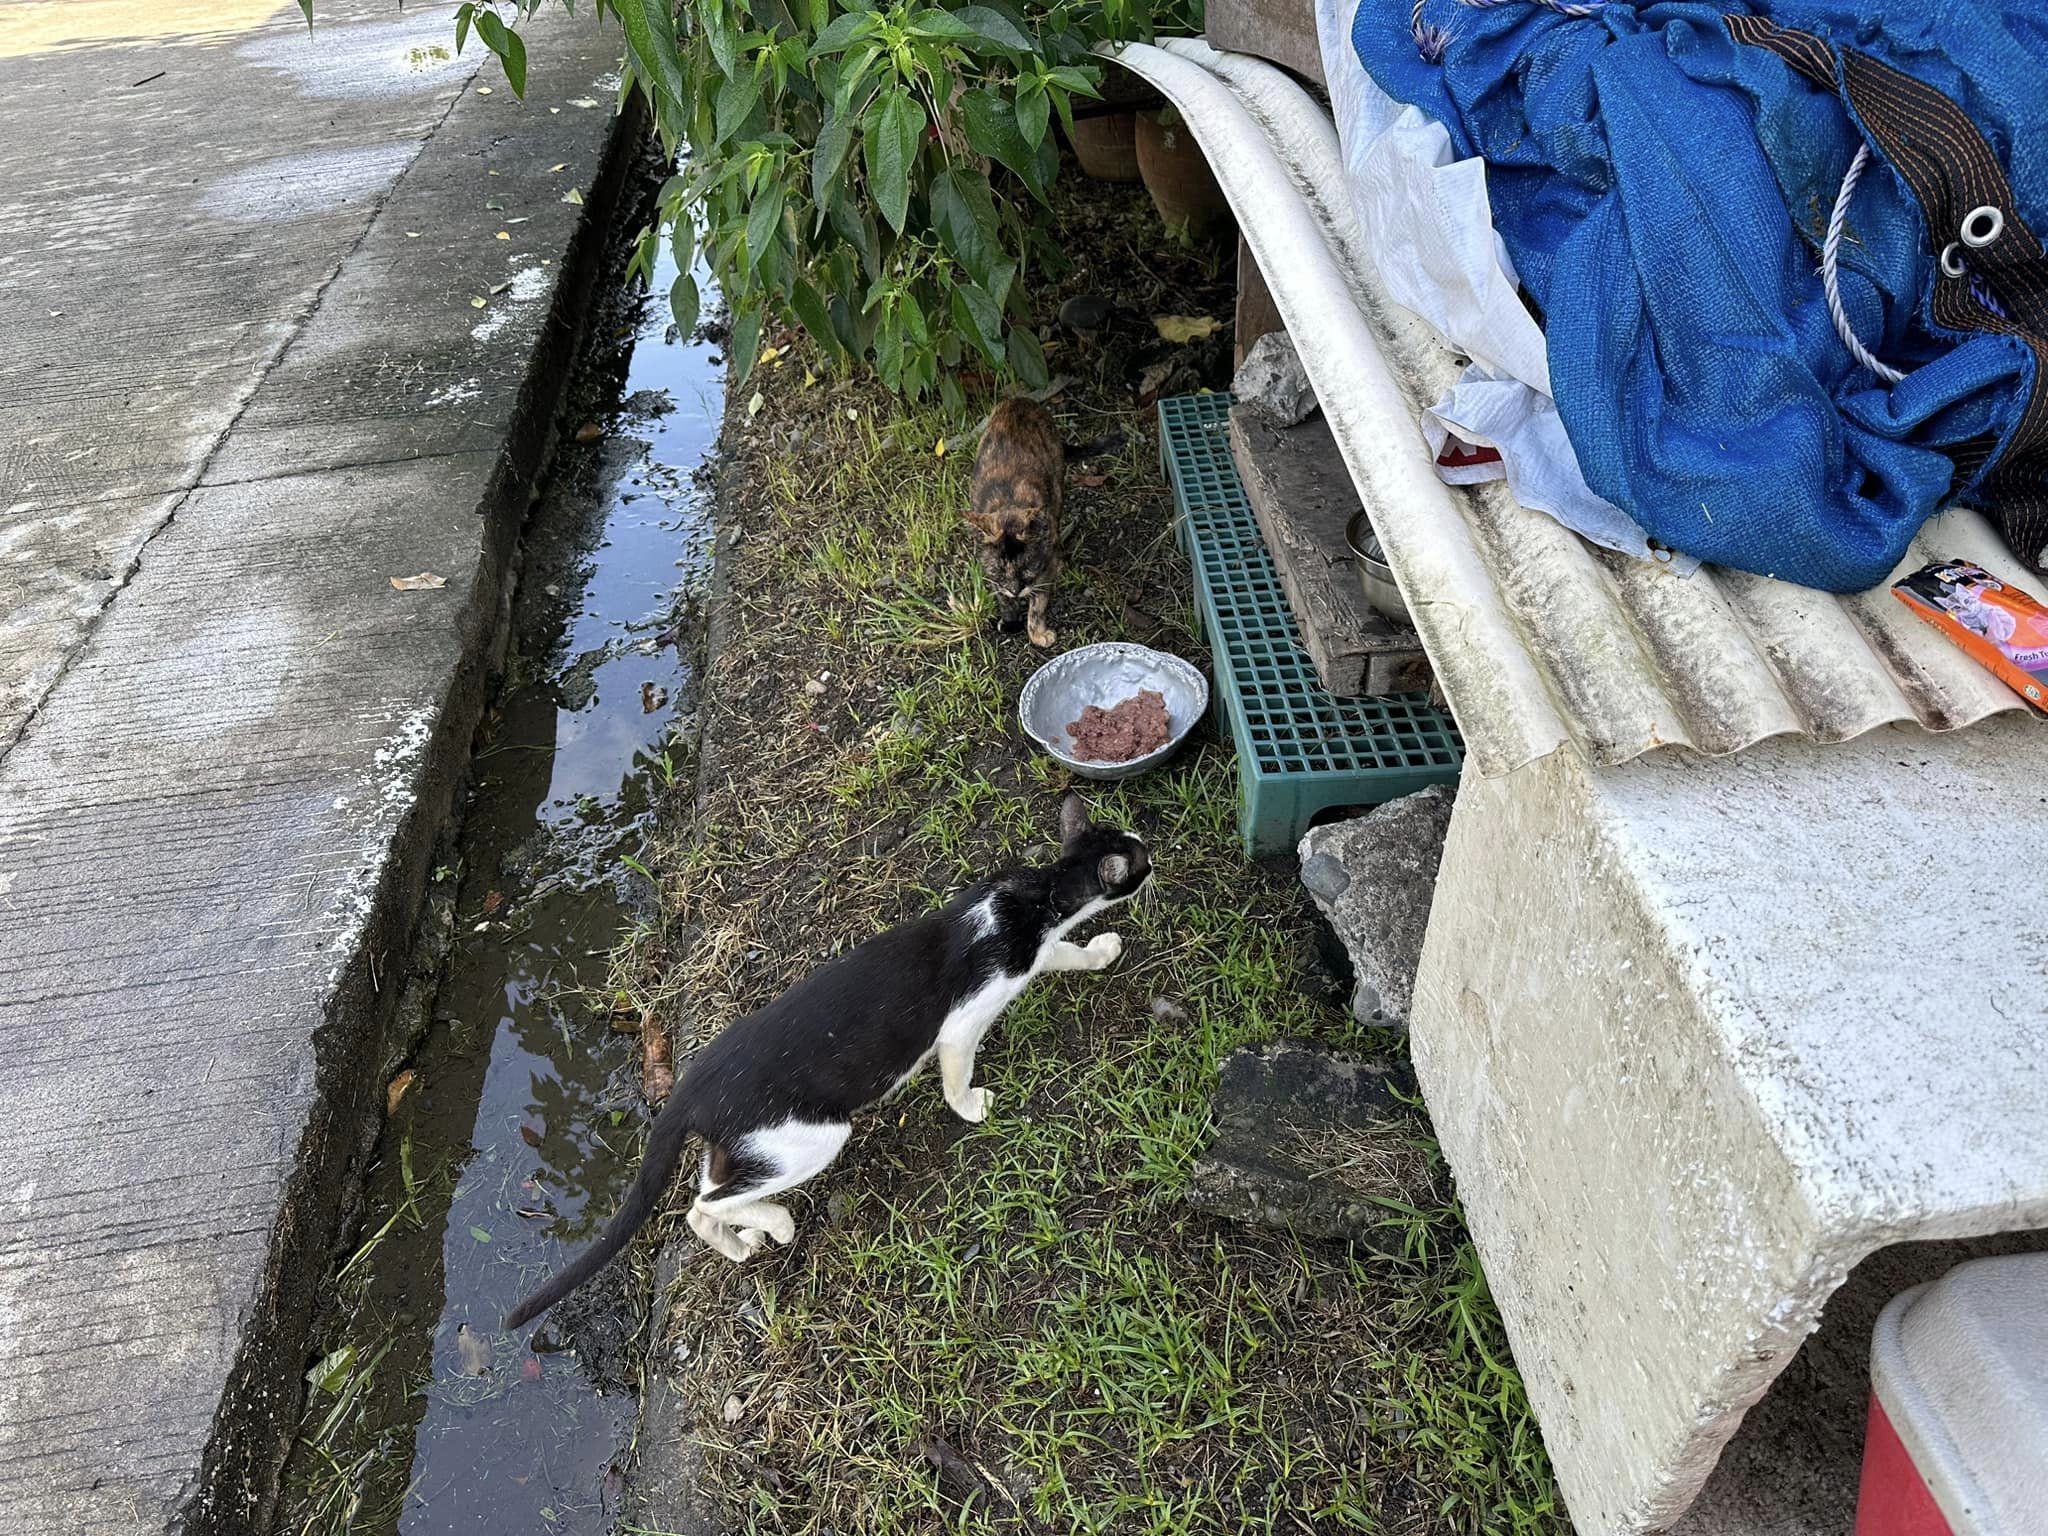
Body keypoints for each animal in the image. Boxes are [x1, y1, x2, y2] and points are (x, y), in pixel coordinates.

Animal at [503, 798, 1155, 1327]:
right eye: (1141, 859)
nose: (1159, 855)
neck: (1032, 900)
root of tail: (691, 1086)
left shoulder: (1036, 949)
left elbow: (1065, 953)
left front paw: (1099, 950)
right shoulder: (964, 1022)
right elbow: (957, 1070)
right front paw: (971, 1105)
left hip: (749, 1146)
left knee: (706, 1198)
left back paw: (744, 1240)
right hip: (811, 1138)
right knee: (700, 1207)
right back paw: (772, 1225)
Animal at [962, 399, 1122, 647]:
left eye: (1027, 566)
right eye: (999, 568)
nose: (1015, 590)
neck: (1009, 502)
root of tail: (1020, 401)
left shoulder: (1043, 568)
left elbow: (1038, 604)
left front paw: (1038, 633)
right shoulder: (993, 576)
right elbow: (1003, 597)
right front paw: (1010, 620)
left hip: (1057, 486)